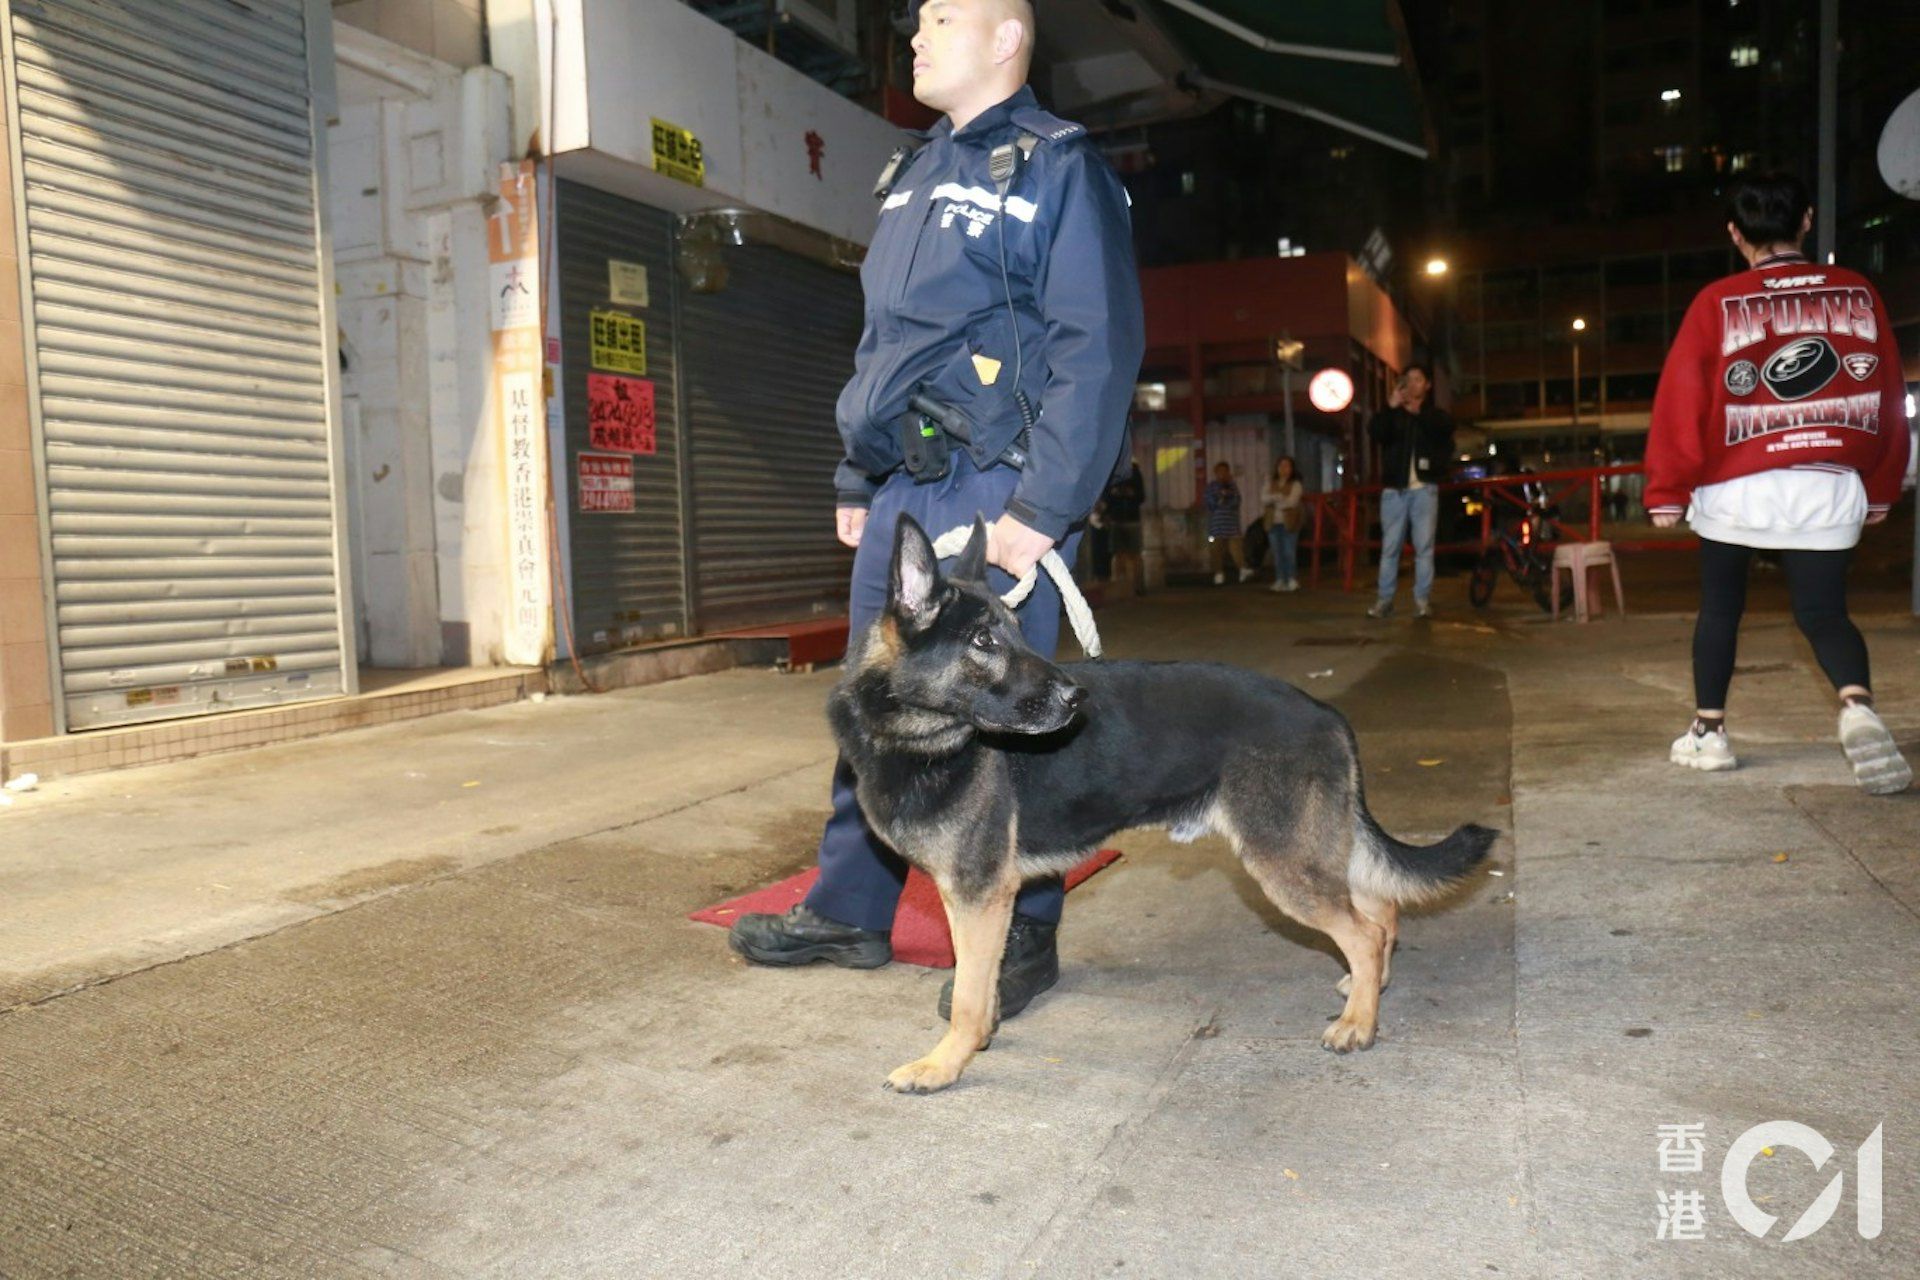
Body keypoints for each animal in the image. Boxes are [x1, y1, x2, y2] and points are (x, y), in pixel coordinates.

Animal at [840, 514, 1497, 1097]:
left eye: (1018, 634)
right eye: (983, 641)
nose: (1076, 699)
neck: (915, 734)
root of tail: (1328, 714)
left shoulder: (978, 894)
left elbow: (969, 999)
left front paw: (944, 1064)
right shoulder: (980, 900)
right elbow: (981, 984)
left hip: (1282, 862)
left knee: (1364, 930)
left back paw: (1359, 1023)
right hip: (1311, 848)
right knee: (1382, 912)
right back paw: (1368, 991)